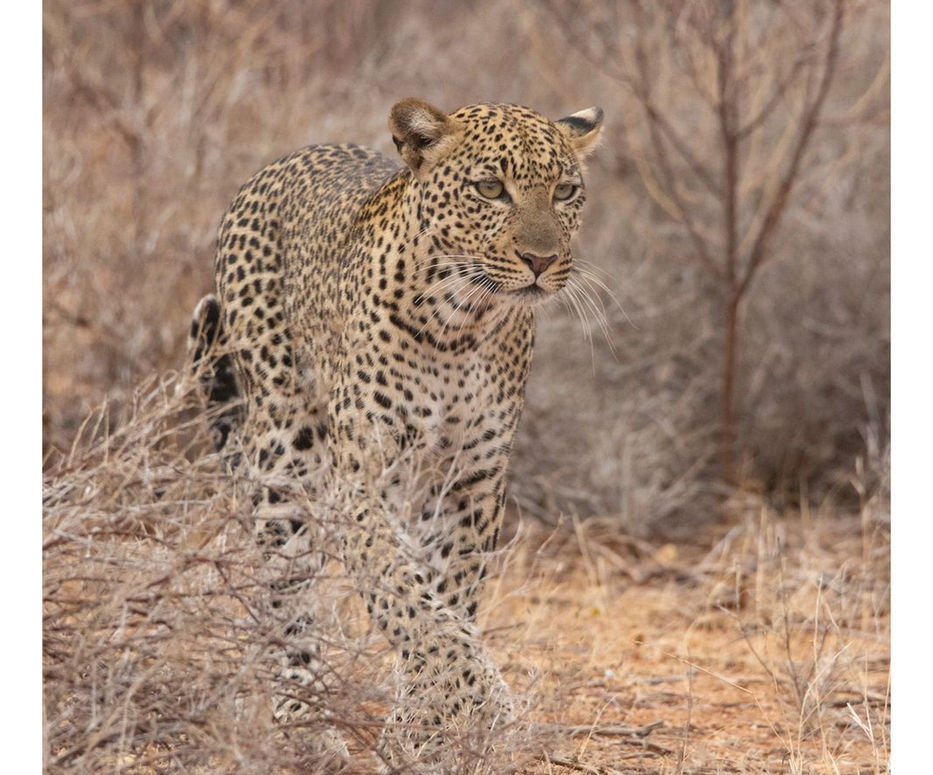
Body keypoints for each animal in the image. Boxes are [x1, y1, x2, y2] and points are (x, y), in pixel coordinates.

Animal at [189, 98, 602, 769]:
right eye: (491, 189)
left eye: (565, 192)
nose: (541, 261)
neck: (463, 323)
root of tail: (285, 159)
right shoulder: (361, 480)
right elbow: (406, 598)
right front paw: (482, 698)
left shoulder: (469, 485)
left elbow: (447, 599)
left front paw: (427, 723)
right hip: (284, 456)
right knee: (286, 599)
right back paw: (303, 723)